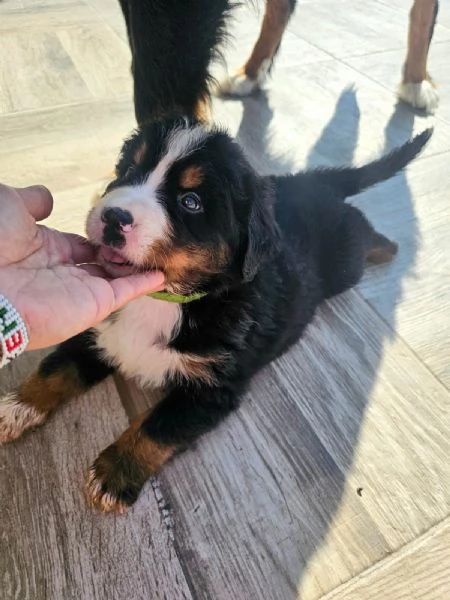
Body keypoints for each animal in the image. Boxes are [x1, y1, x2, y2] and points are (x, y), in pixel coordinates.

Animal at [0, 120, 432, 510]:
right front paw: (17, 407)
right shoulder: (101, 332)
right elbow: (57, 367)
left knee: (363, 232)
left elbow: (158, 427)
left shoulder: (214, 388)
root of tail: (311, 183)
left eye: (190, 202)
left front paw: (115, 472)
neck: (166, 300)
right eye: (128, 170)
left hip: (346, 259)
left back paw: (390, 246)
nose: (113, 216)